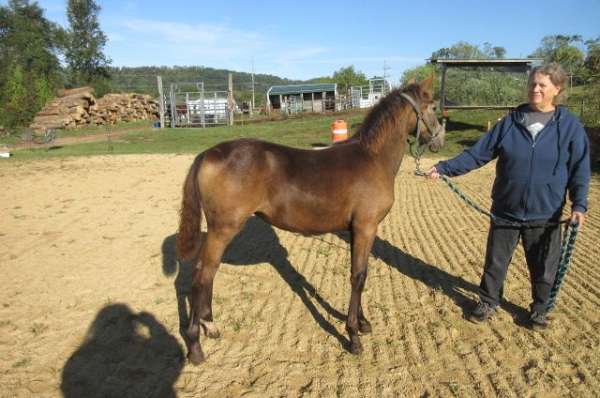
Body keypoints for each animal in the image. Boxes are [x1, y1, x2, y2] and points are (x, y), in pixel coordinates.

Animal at [176, 75, 442, 364]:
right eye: (433, 107)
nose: (440, 140)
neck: (372, 157)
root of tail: (208, 153)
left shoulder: (356, 230)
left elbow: (360, 273)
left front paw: (362, 323)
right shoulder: (366, 227)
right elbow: (358, 276)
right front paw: (353, 336)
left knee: (206, 273)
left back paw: (210, 326)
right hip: (223, 229)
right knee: (202, 277)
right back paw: (195, 346)